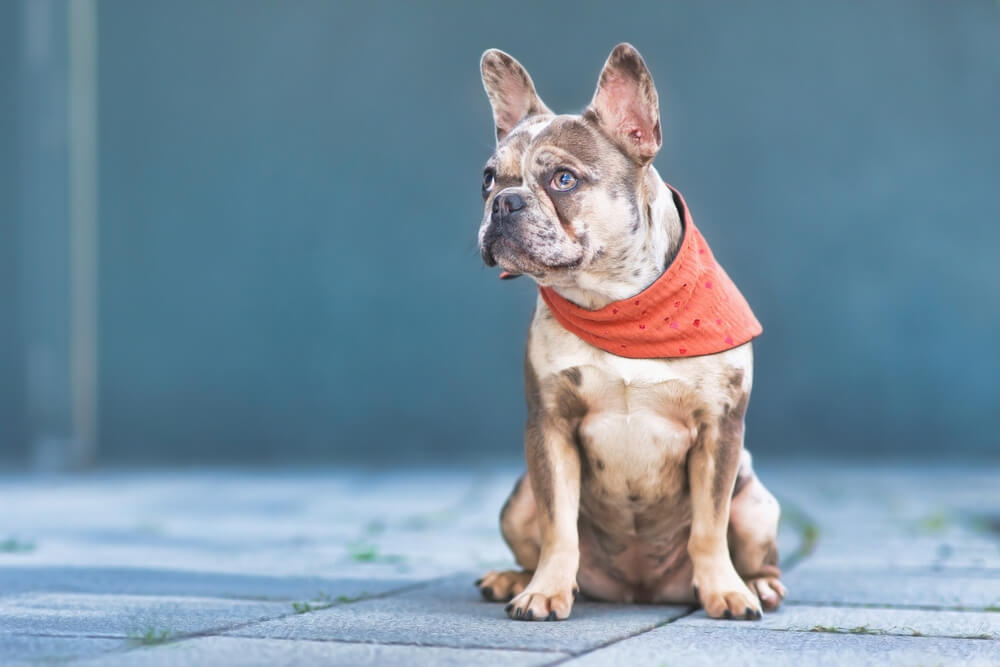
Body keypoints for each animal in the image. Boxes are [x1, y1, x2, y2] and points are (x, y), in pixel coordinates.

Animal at [472, 44, 784, 624]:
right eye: (487, 179)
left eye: (564, 180)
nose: (504, 202)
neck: (619, 306)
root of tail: (639, 592)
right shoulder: (549, 426)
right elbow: (558, 524)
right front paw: (545, 591)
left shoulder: (720, 429)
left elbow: (709, 526)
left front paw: (726, 591)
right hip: (516, 500)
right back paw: (515, 579)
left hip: (756, 504)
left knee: (755, 547)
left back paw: (756, 584)